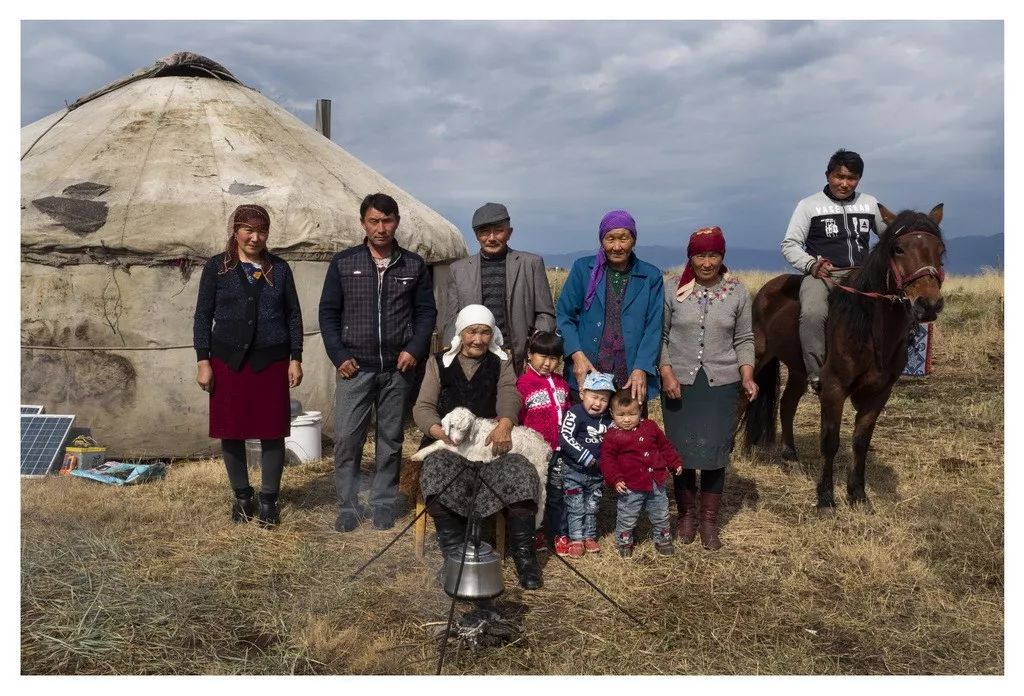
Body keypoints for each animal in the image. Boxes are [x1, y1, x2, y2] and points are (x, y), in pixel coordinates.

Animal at [409, 405, 552, 524]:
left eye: (466, 429)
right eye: (452, 426)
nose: (456, 440)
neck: (468, 438)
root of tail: (545, 446)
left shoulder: (464, 450)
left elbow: (441, 444)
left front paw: (419, 454)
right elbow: (439, 443)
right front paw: (417, 455)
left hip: (538, 467)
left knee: (543, 496)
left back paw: (538, 521)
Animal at [745, 201, 942, 511]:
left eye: (940, 249)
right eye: (898, 249)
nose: (929, 304)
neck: (870, 329)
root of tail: (766, 290)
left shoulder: (878, 394)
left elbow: (861, 442)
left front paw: (858, 494)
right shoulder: (834, 389)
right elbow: (831, 441)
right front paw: (826, 497)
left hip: (799, 371)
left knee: (787, 405)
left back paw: (790, 458)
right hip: (757, 357)